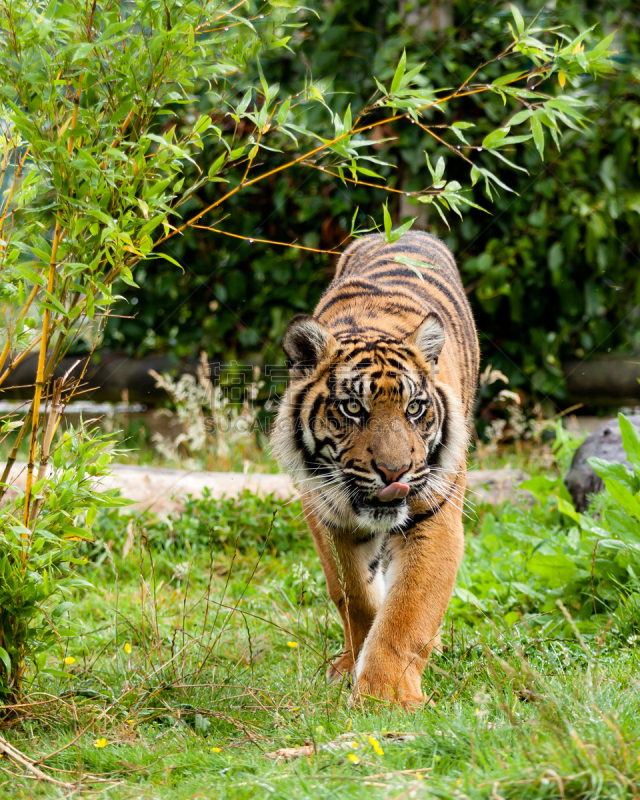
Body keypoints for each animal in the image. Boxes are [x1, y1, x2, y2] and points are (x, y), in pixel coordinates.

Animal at [272, 230, 480, 708]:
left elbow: (408, 611)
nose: (394, 473)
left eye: (415, 408)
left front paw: (386, 696)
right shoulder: (327, 513)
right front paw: (356, 668)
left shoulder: (435, 517)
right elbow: (356, 595)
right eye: (353, 408)